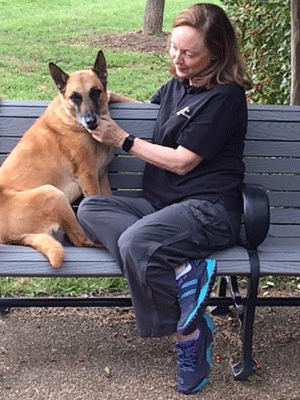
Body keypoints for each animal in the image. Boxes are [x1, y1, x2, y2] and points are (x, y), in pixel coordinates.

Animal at [0, 50, 114, 268]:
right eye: (75, 97)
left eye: (95, 92)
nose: (91, 122)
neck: (73, 121)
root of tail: (7, 238)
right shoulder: (89, 176)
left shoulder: (102, 176)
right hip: (52, 194)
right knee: (79, 239)